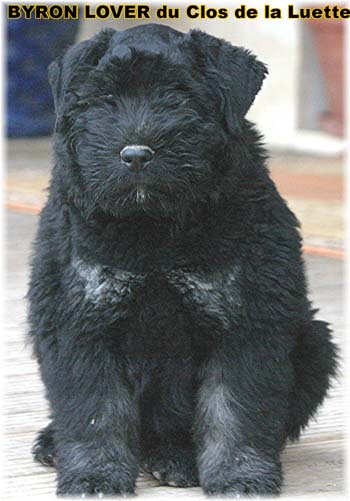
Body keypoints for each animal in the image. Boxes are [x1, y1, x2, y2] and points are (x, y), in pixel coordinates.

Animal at [29, 22, 336, 492]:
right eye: (104, 97)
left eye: (179, 95)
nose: (136, 155)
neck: (153, 227)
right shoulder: (78, 320)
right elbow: (95, 410)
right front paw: (95, 476)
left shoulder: (247, 322)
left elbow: (235, 409)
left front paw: (240, 476)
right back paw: (54, 443)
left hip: (316, 342)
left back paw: (176, 459)